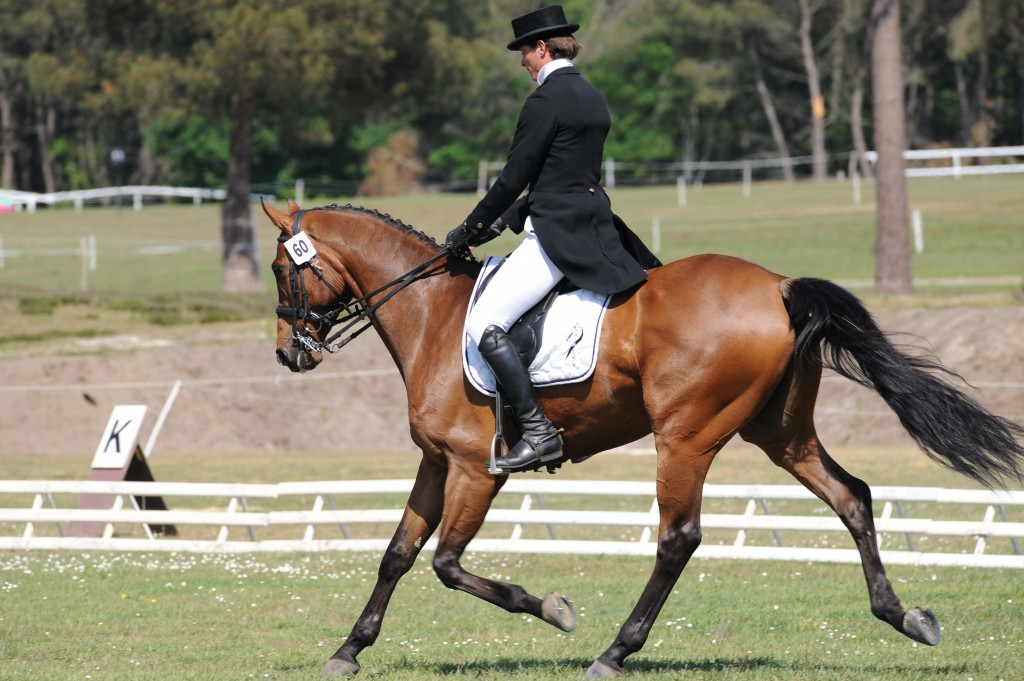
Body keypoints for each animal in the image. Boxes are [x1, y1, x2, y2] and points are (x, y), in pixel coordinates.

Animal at [266, 199, 1024, 675]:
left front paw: (553, 609)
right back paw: (904, 615)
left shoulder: (478, 469)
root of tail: (778, 285)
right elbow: (396, 554)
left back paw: (613, 651)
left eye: (279, 269)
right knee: (852, 496)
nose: (286, 353)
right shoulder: (436, 461)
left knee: (678, 537)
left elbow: (447, 563)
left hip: (685, 437)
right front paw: (349, 649)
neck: (433, 313)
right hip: (780, 433)